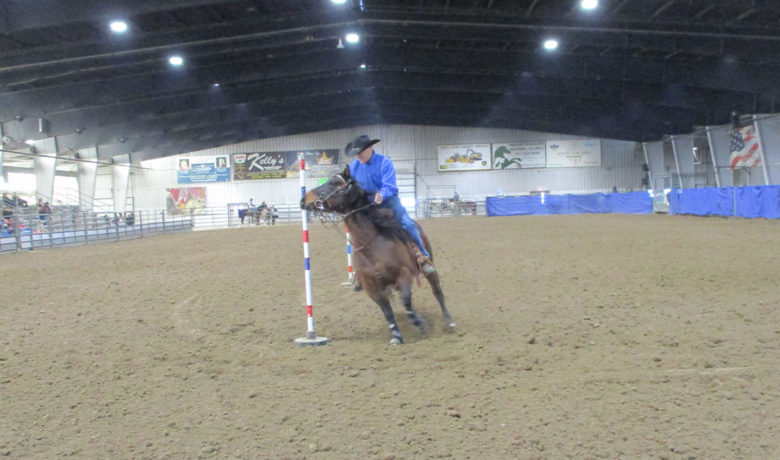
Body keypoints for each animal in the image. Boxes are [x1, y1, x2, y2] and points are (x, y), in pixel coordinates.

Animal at [301, 166, 456, 344]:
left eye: (333, 183)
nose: (304, 199)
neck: (372, 243)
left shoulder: (404, 274)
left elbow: (407, 303)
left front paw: (420, 324)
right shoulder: (372, 287)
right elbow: (387, 311)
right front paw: (396, 336)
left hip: (429, 267)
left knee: (437, 292)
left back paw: (450, 321)